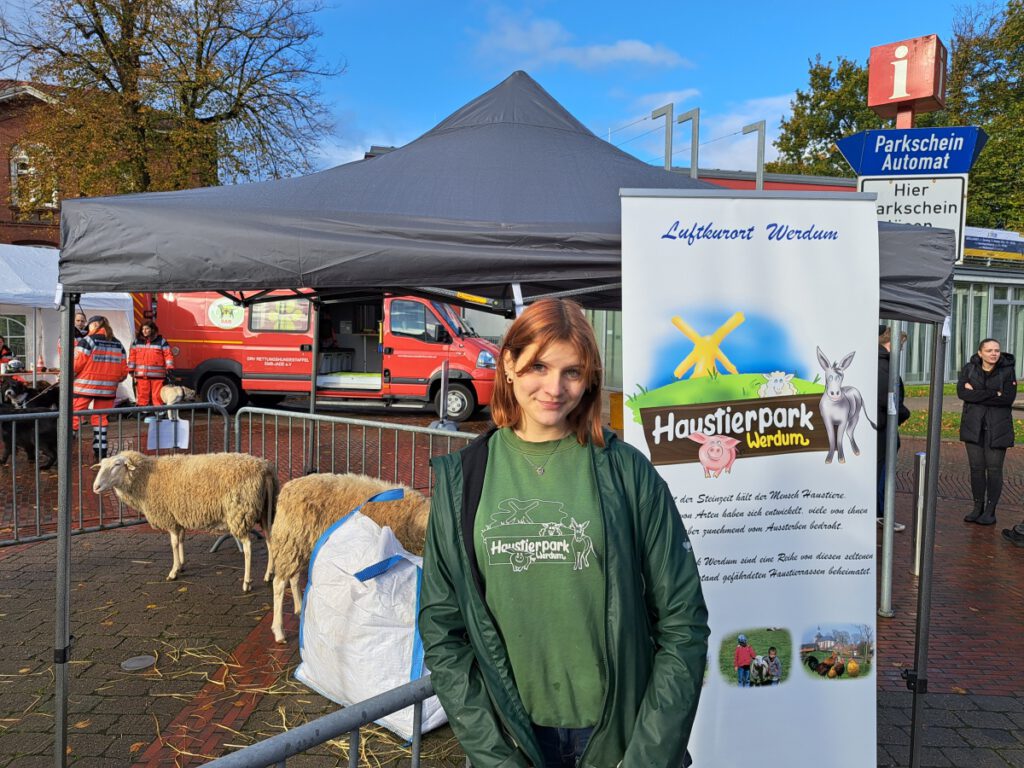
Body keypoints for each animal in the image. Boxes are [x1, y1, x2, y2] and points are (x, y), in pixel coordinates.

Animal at [91, 448, 274, 593]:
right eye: (101, 466)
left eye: (117, 465)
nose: (95, 487)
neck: (145, 477)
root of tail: (264, 468)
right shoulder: (177, 515)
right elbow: (180, 540)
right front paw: (182, 565)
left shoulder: (168, 517)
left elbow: (173, 543)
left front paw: (173, 572)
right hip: (266, 511)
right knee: (270, 541)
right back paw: (269, 575)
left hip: (239, 512)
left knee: (248, 546)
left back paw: (247, 583)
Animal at [266, 475, 430, 643]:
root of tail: (288, 488)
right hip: (291, 540)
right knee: (279, 583)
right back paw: (279, 631)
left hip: (300, 545)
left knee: (294, 577)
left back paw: (300, 609)